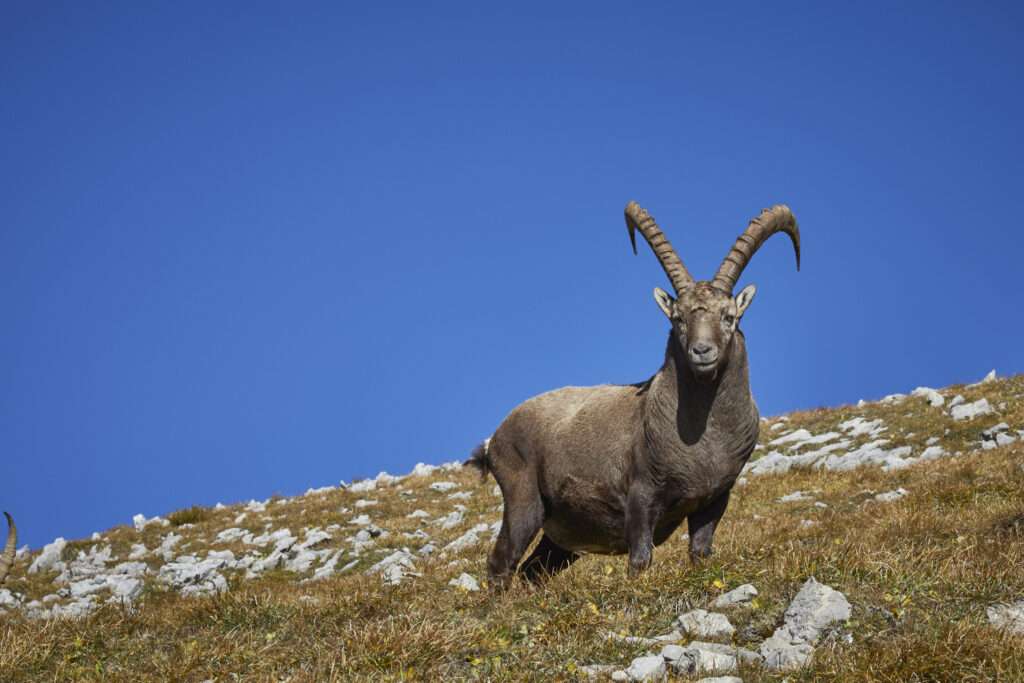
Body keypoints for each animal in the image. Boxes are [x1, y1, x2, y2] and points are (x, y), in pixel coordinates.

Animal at [467, 201, 800, 588]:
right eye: (678, 318)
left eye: (728, 316)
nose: (702, 351)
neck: (704, 439)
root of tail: (495, 438)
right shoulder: (641, 496)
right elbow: (640, 559)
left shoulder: (715, 498)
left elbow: (700, 553)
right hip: (524, 500)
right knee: (500, 562)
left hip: (562, 535)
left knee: (534, 570)